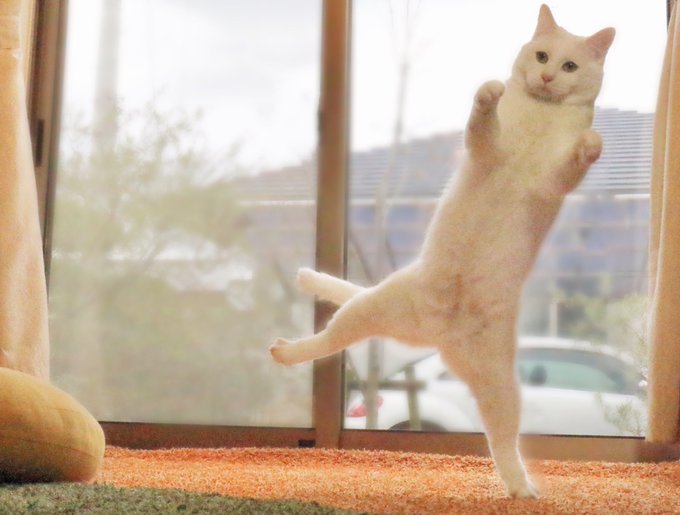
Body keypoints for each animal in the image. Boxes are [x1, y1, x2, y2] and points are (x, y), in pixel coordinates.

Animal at [270, 4, 614, 499]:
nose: (548, 76)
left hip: (502, 390)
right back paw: (286, 349)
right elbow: (482, 125)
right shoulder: (485, 151)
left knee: (503, 442)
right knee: (325, 339)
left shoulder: (552, 183)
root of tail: (440, 337)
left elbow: (573, 160)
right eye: (542, 55)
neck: (542, 115)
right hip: (368, 310)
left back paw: (521, 488)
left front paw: (591, 145)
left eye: (569, 65)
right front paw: (489, 93)